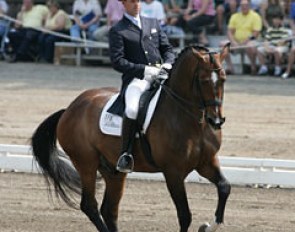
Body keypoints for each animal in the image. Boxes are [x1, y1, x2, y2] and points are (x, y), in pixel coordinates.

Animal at [31, 44, 232, 232]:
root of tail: (69, 109)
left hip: (113, 170)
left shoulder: (206, 162)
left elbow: (224, 187)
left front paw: (207, 226)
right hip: (86, 163)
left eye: (223, 79)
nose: (216, 121)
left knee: (109, 210)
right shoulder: (173, 172)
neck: (192, 121)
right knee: (90, 205)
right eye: (203, 81)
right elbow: (184, 215)